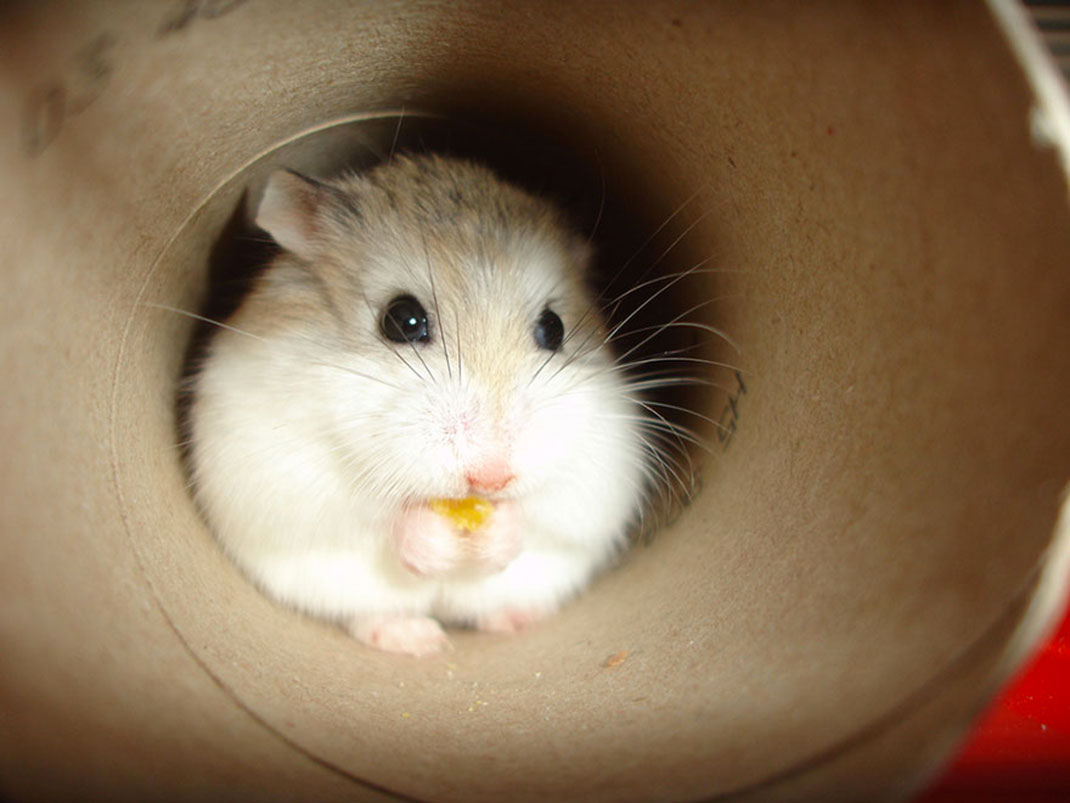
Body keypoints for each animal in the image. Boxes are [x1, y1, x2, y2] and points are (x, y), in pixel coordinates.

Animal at [188, 154, 647, 656]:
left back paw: (514, 619)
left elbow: (542, 511)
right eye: (402, 320)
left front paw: (496, 533)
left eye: (554, 328)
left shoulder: (604, 463)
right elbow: (373, 514)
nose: (491, 479)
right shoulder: (280, 470)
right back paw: (420, 640)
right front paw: (430, 545)